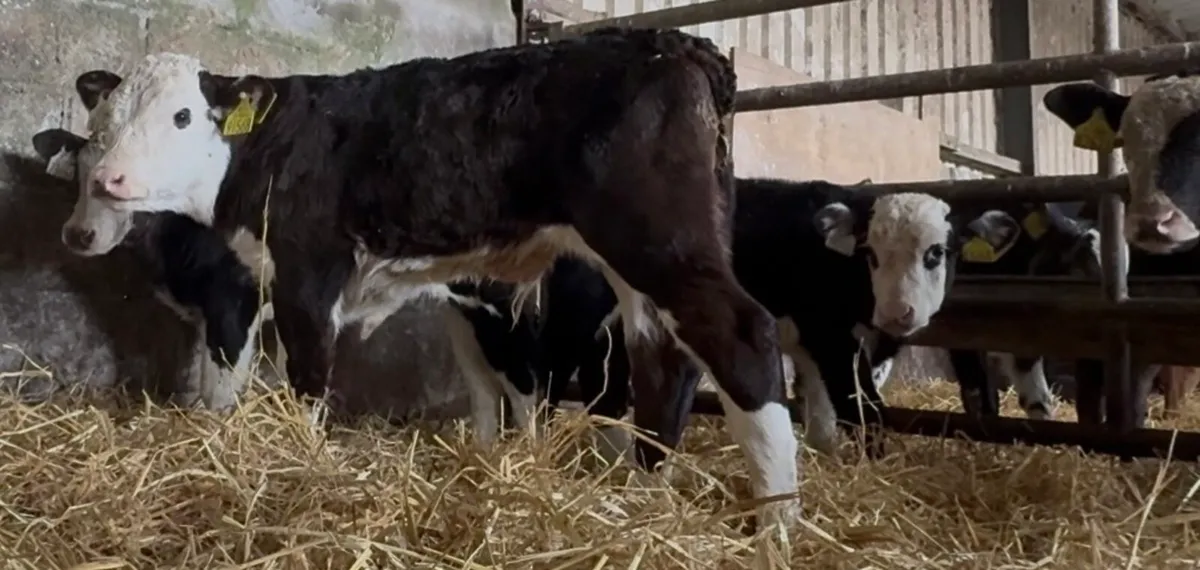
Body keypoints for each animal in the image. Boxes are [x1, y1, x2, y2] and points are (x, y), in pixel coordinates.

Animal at [60, 28, 804, 526]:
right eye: (102, 125)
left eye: (183, 115)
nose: (110, 179)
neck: (262, 153)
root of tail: (678, 42)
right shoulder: (248, 284)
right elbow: (226, 382)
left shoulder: (309, 273)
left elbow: (308, 380)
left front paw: (305, 464)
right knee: (663, 363)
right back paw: (641, 495)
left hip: (655, 237)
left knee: (740, 337)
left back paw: (779, 521)